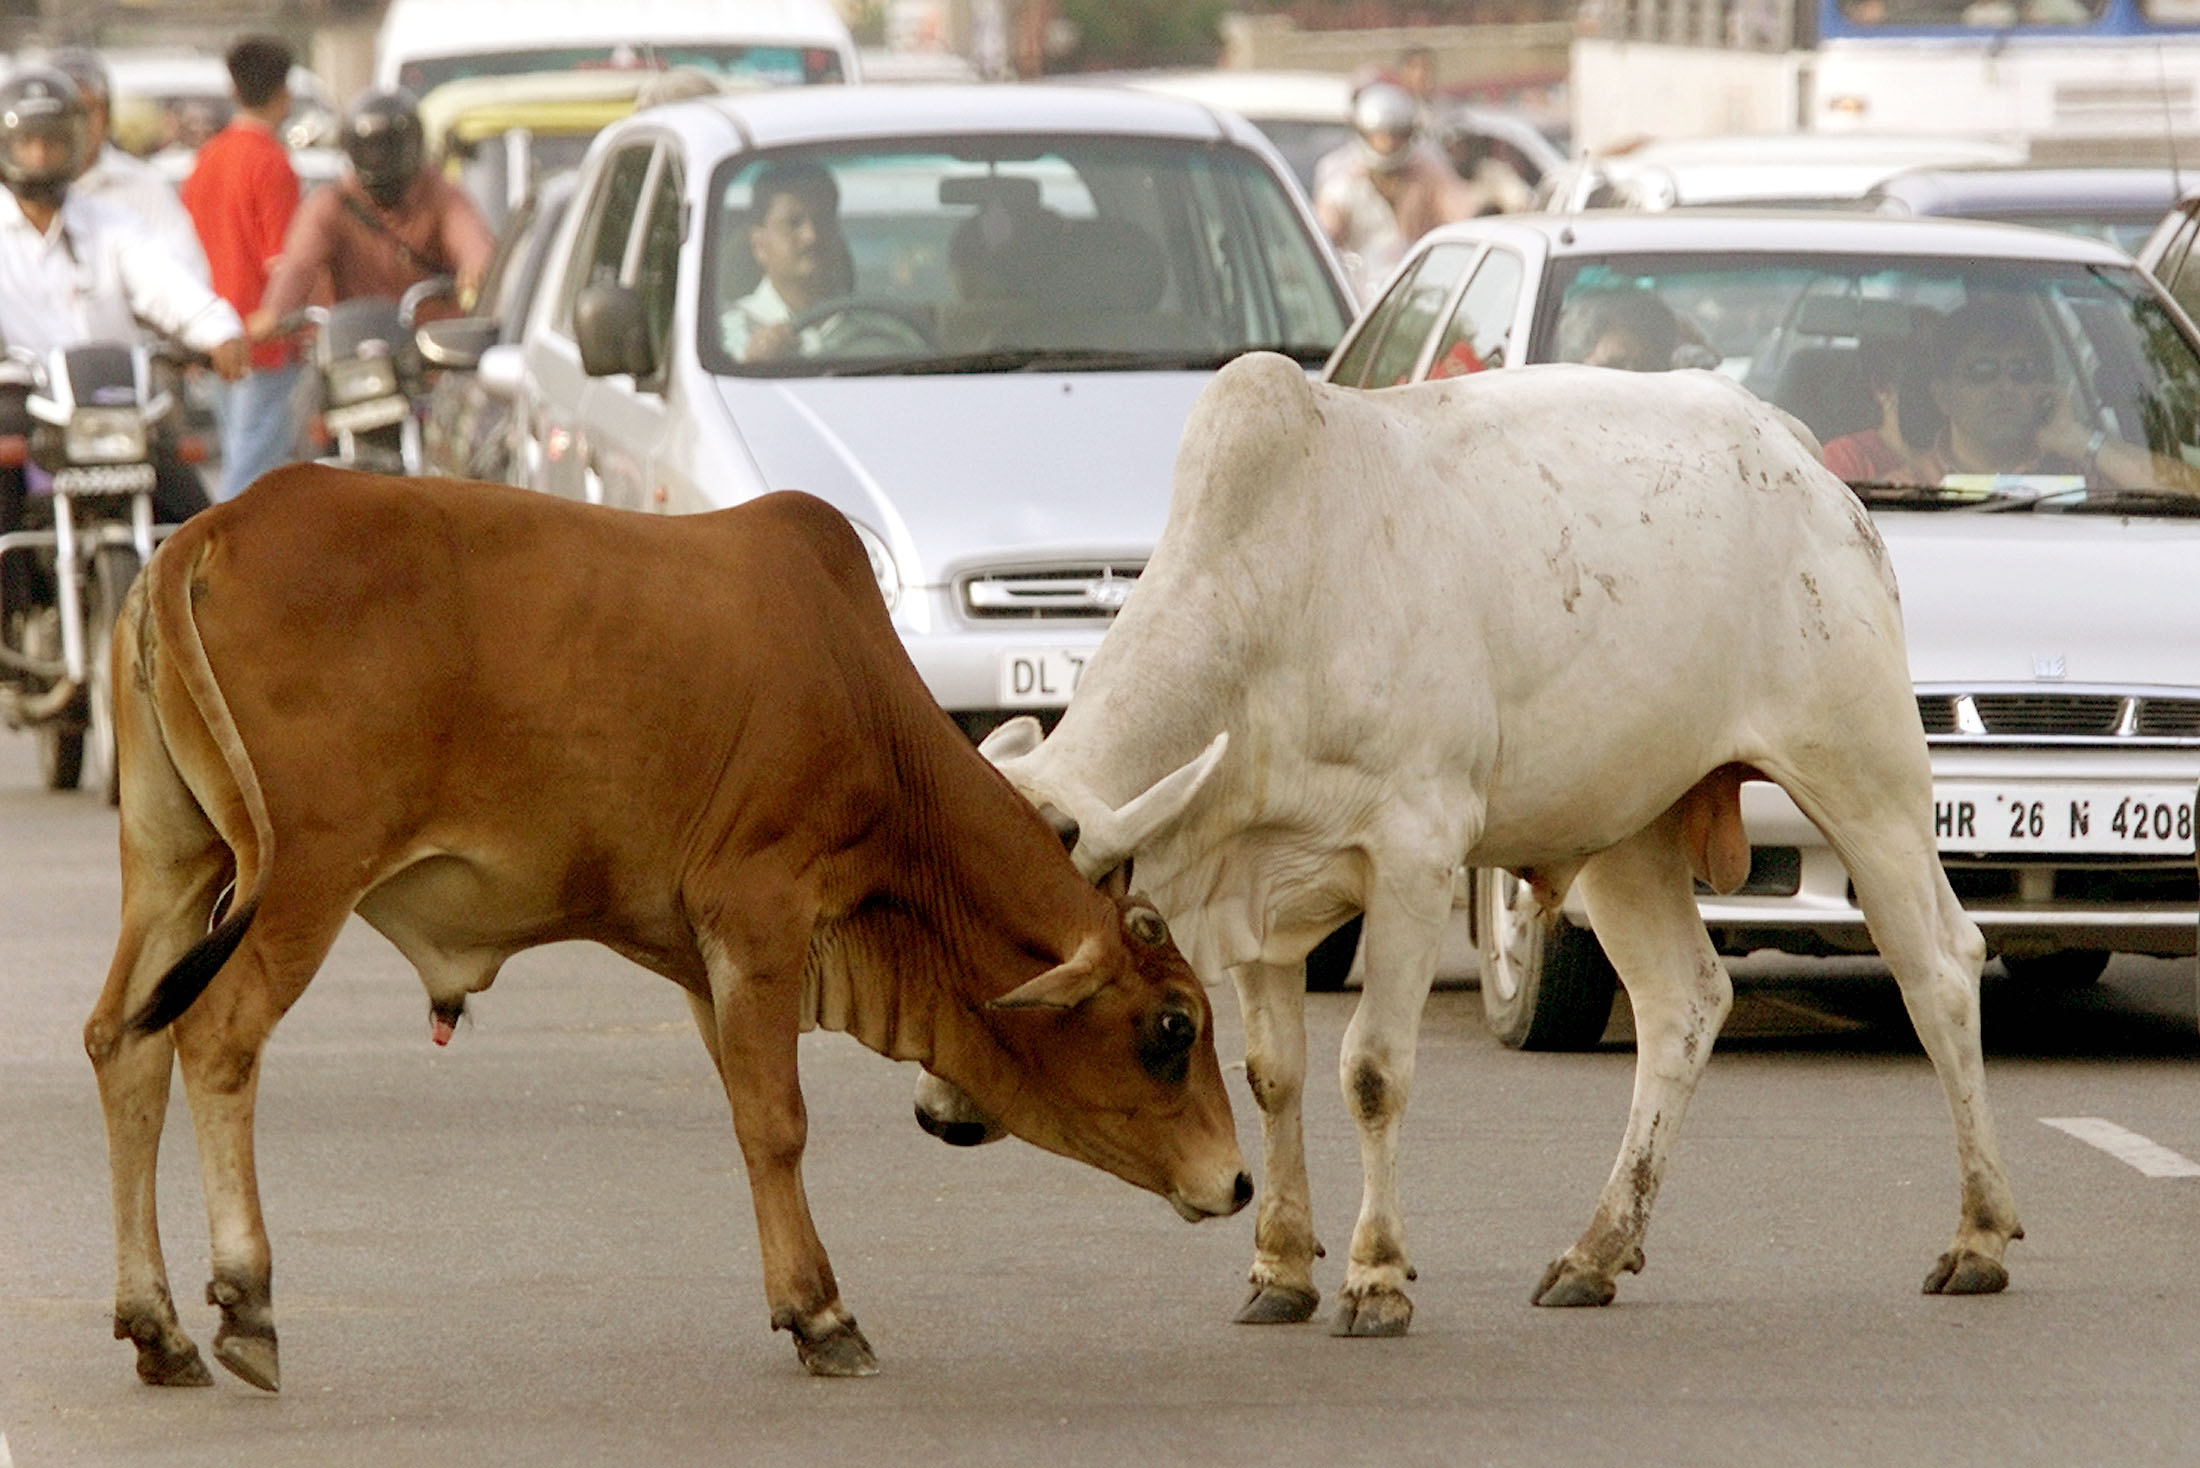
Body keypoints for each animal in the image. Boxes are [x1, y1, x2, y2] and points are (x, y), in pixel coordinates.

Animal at [81, 470, 1258, 1390]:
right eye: (1171, 1026)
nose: (1237, 1183)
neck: (866, 706)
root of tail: (209, 529)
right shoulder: (762, 915)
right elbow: (778, 1122)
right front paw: (823, 1315)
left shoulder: (707, 962)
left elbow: (745, 1114)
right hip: (301, 879)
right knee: (216, 1039)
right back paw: (245, 1302)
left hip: (172, 863)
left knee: (122, 1044)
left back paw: (156, 1327)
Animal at [954, 352, 2015, 1329]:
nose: (943, 1111)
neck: (1274, 608)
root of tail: (1794, 452)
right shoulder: (1257, 886)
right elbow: (1273, 1074)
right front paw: (1282, 1267)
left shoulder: (1413, 857)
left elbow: (1372, 1072)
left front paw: (1376, 1277)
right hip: (1629, 830)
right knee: (1683, 1002)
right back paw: (1596, 1250)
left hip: (1866, 779)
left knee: (1938, 970)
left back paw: (1978, 1235)